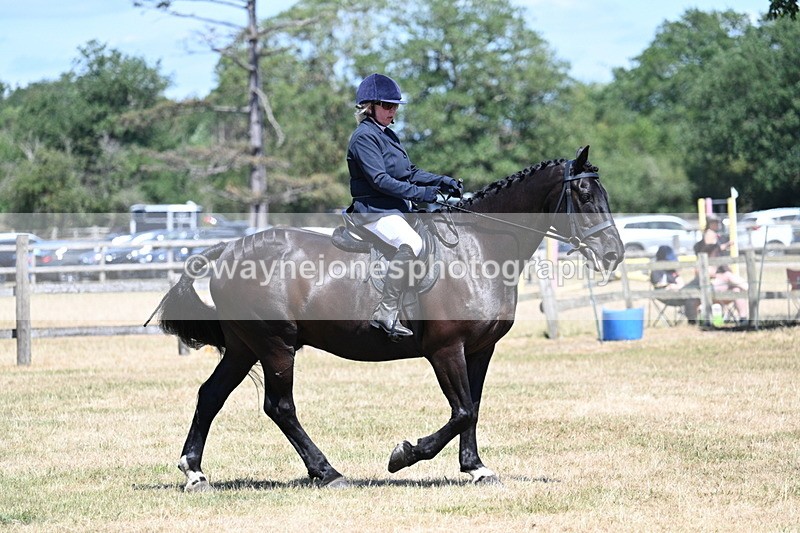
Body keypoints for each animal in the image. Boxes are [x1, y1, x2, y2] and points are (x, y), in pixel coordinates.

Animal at [152, 145, 624, 491]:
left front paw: (476, 468)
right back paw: (328, 473)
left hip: (244, 346)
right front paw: (404, 455)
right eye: (584, 196)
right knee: (279, 406)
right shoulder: (445, 349)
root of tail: (229, 249)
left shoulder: (480, 349)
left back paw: (195, 472)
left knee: (211, 395)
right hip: (275, 345)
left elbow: (473, 407)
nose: (613, 254)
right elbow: (460, 411)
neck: (479, 248)